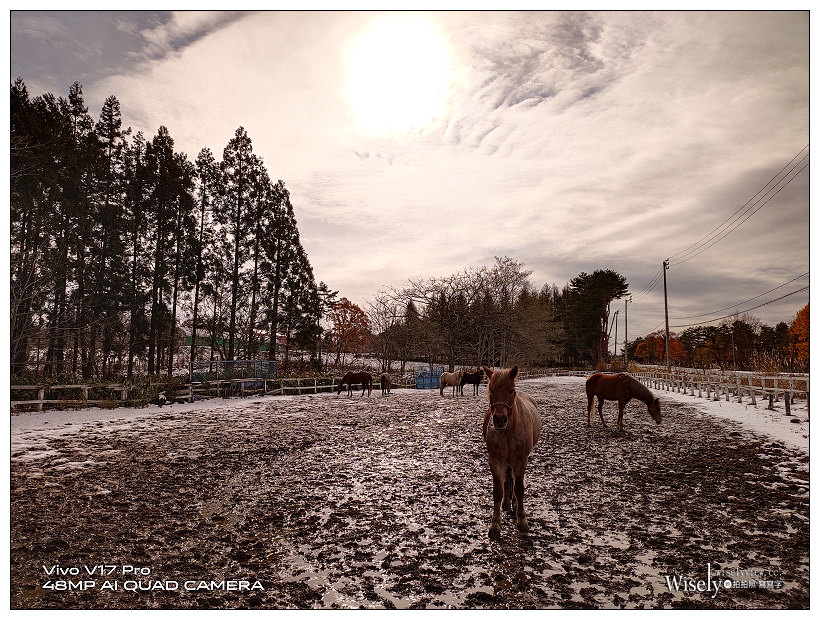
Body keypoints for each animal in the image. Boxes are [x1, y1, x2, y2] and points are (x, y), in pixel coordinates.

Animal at [482, 365, 542, 539]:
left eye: (511, 390)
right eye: (491, 390)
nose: (499, 420)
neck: (508, 431)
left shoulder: (521, 460)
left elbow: (520, 489)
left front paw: (522, 521)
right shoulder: (495, 461)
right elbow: (497, 492)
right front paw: (495, 525)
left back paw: (514, 504)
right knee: (508, 479)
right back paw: (508, 502)